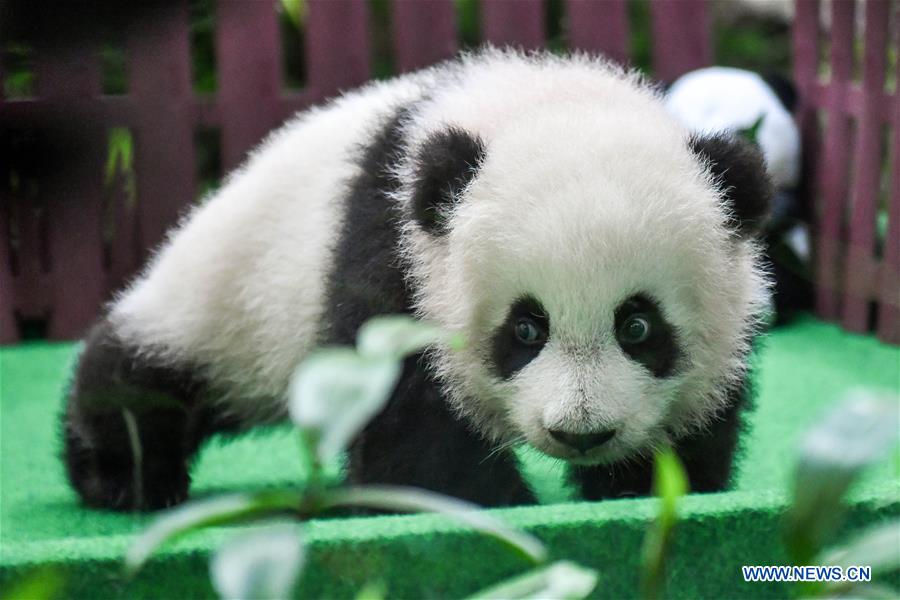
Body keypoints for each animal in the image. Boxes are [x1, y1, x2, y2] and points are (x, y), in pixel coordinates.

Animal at [65, 51, 772, 510]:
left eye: (638, 326)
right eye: (524, 328)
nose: (581, 433)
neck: (541, 101)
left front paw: (637, 485)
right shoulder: (393, 241)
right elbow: (401, 407)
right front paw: (483, 503)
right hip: (232, 292)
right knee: (143, 375)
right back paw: (124, 477)